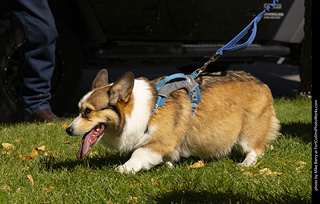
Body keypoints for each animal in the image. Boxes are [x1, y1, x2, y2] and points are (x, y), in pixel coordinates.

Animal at [65, 69, 280, 174]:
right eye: (78, 109)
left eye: (88, 112)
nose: (68, 130)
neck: (146, 110)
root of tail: (263, 83)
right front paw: (167, 165)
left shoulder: (157, 143)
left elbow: (138, 154)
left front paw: (124, 169)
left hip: (248, 132)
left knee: (256, 149)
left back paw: (246, 164)